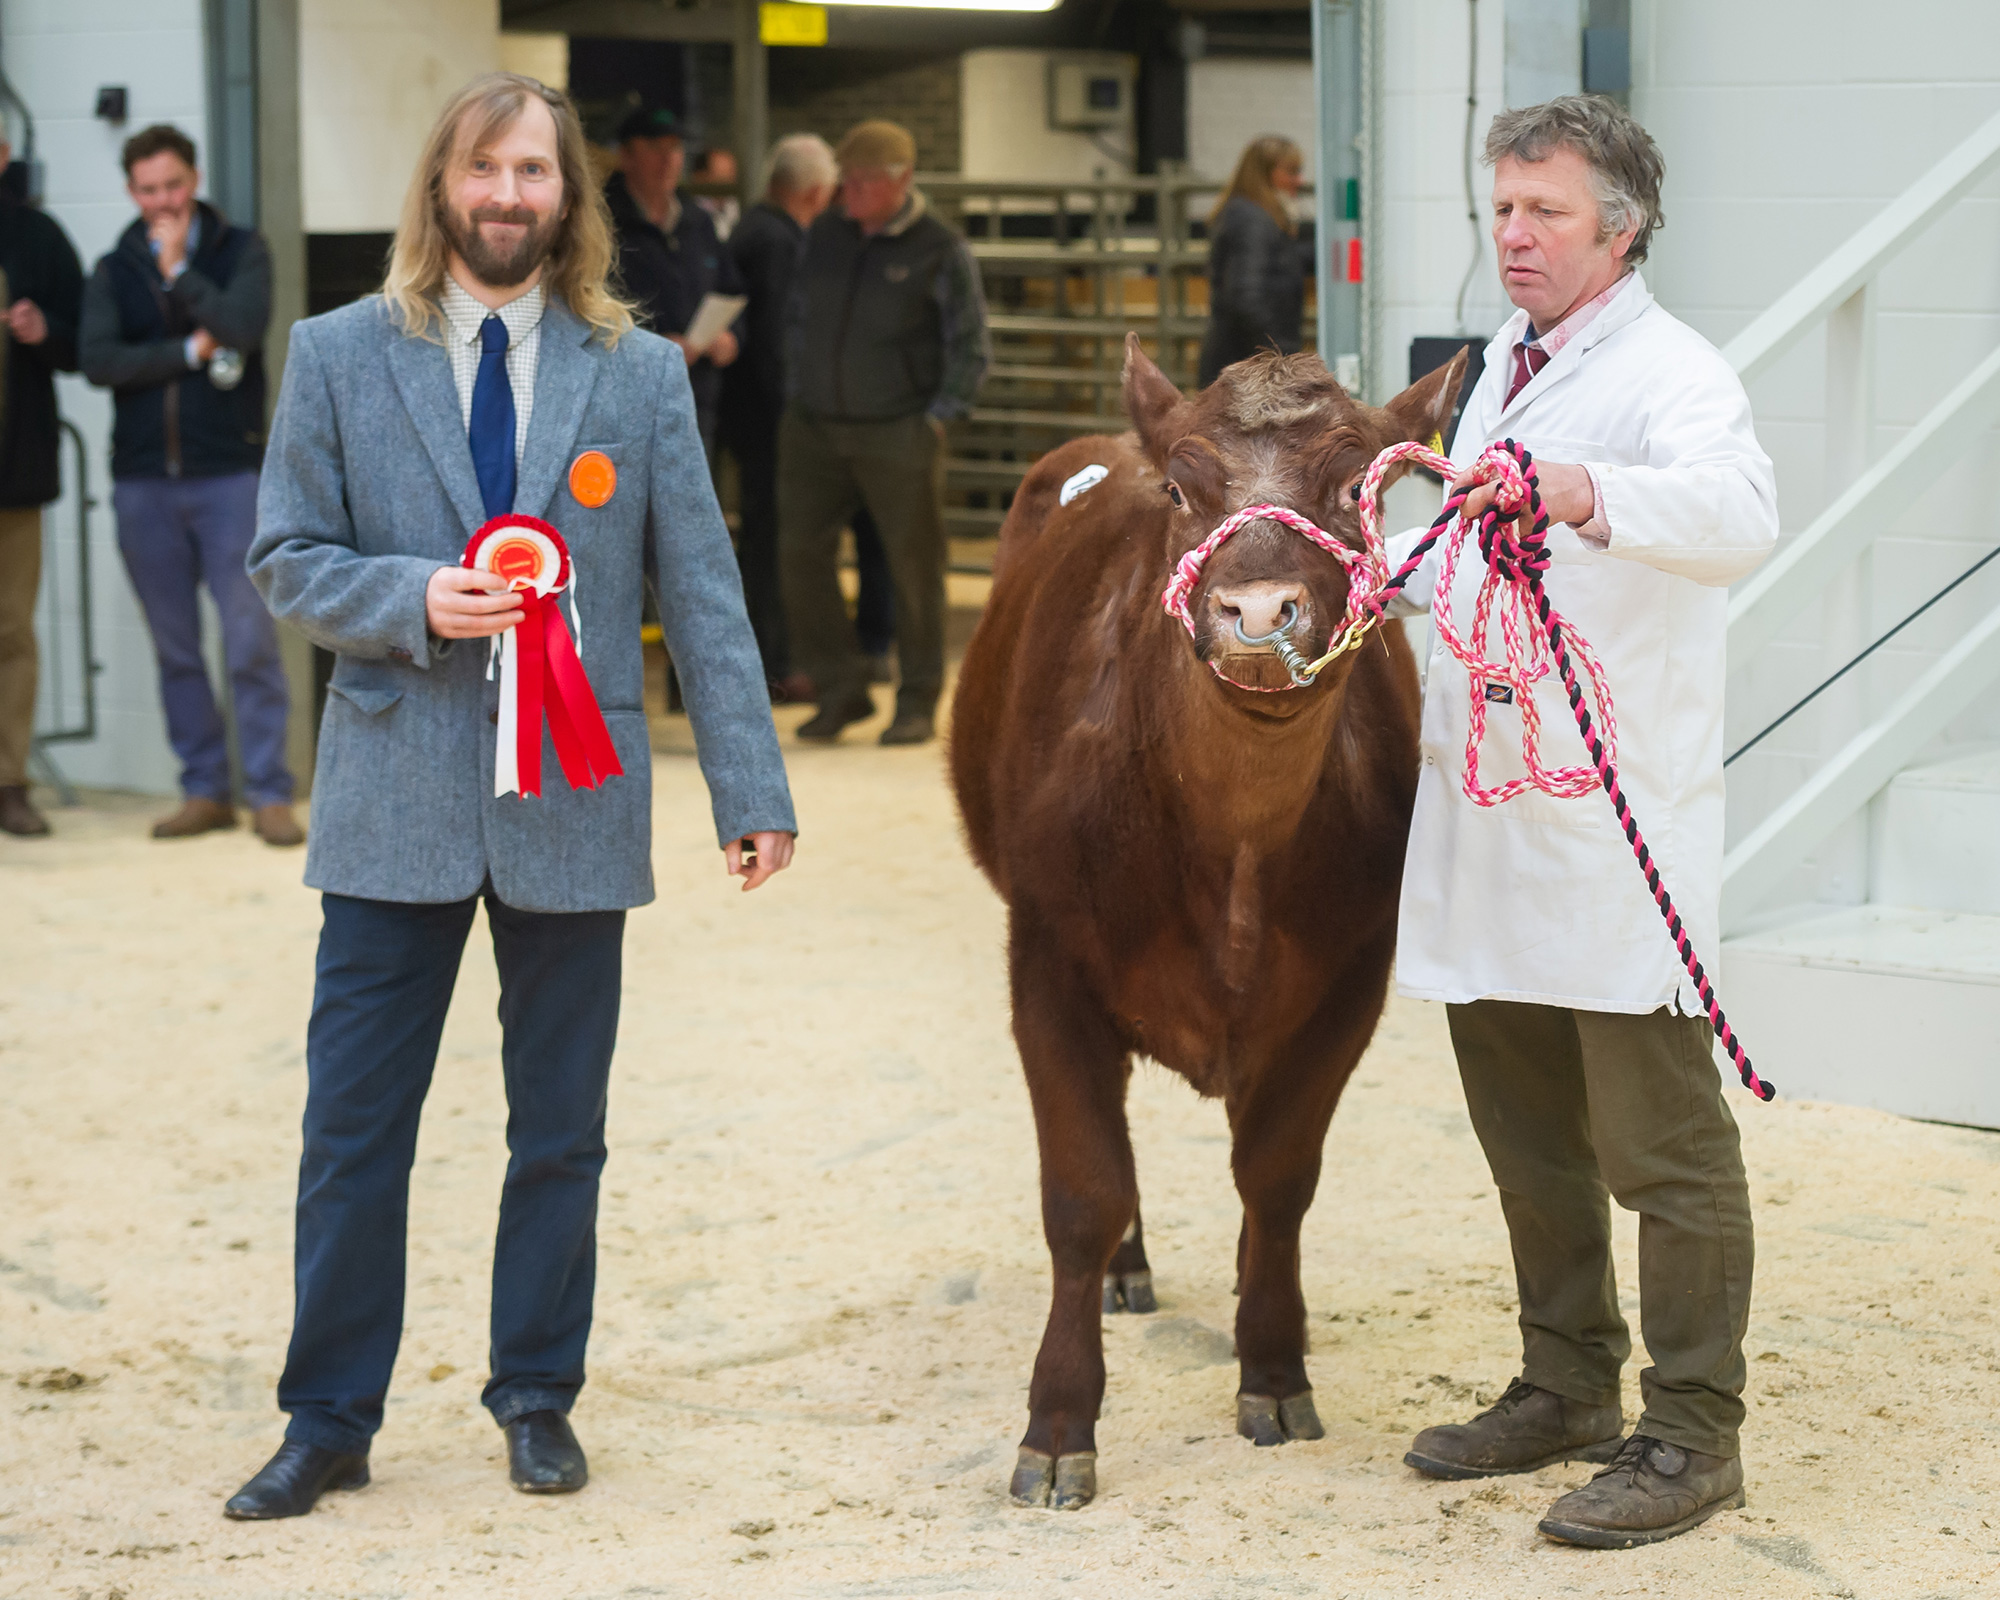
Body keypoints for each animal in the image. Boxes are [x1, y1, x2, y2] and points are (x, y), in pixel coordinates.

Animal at [944, 338, 1464, 1512]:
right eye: (1181, 492)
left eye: (1355, 490)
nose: (1258, 613)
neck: (1232, 855)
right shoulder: (1044, 960)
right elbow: (1083, 1192)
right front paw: (1057, 1422)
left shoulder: (1348, 979)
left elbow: (1276, 1176)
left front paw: (1271, 1364)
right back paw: (1128, 1272)